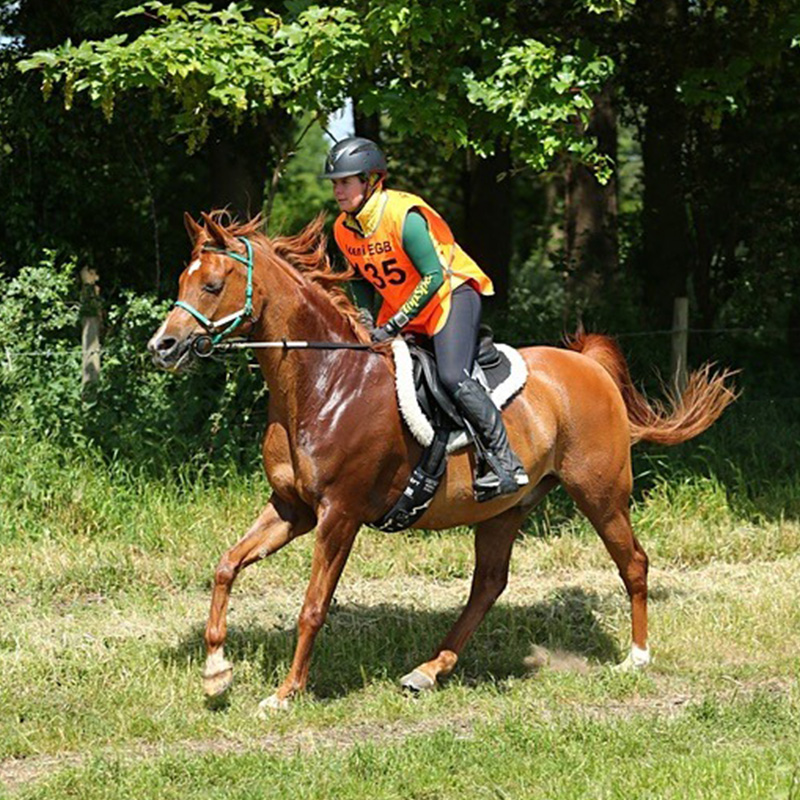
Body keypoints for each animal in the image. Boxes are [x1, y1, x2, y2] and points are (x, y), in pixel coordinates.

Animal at [147, 210, 736, 712]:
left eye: (212, 285)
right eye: (181, 281)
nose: (163, 346)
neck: (323, 382)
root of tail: (588, 366)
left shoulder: (339, 514)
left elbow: (313, 607)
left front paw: (286, 693)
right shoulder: (293, 509)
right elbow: (226, 565)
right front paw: (216, 671)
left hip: (601, 493)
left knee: (632, 563)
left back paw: (635, 658)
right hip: (505, 509)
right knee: (488, 585)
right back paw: (429, 670)